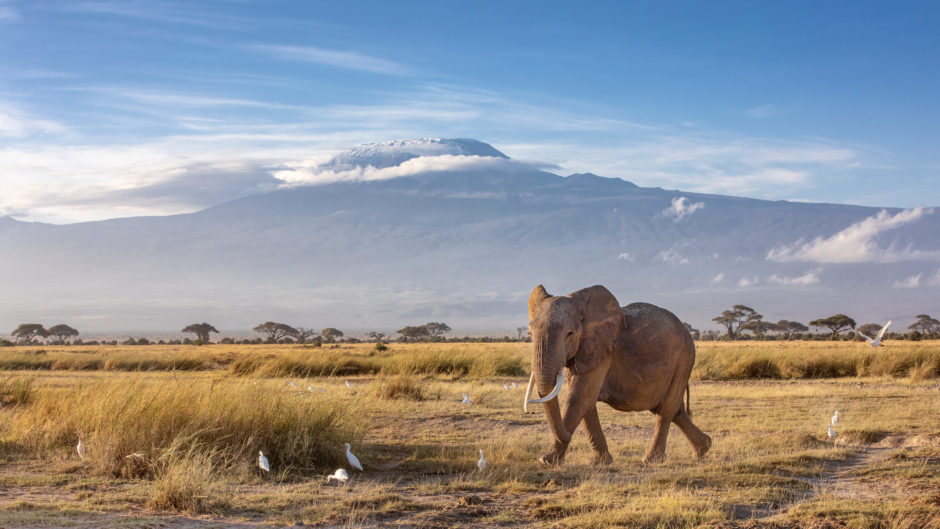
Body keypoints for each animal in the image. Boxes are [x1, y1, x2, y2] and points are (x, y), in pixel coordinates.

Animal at [523, 284, 711, 466]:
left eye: (570, 334)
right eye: (530, 334)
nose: (568, 436)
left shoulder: (603, 350)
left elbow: (579, 398)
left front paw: (546, 461)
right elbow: (587, 402)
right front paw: (599, 462)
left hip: (684, 358)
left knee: (666, 409)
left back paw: (651, 460)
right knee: (675, 409)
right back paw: (704, 448)